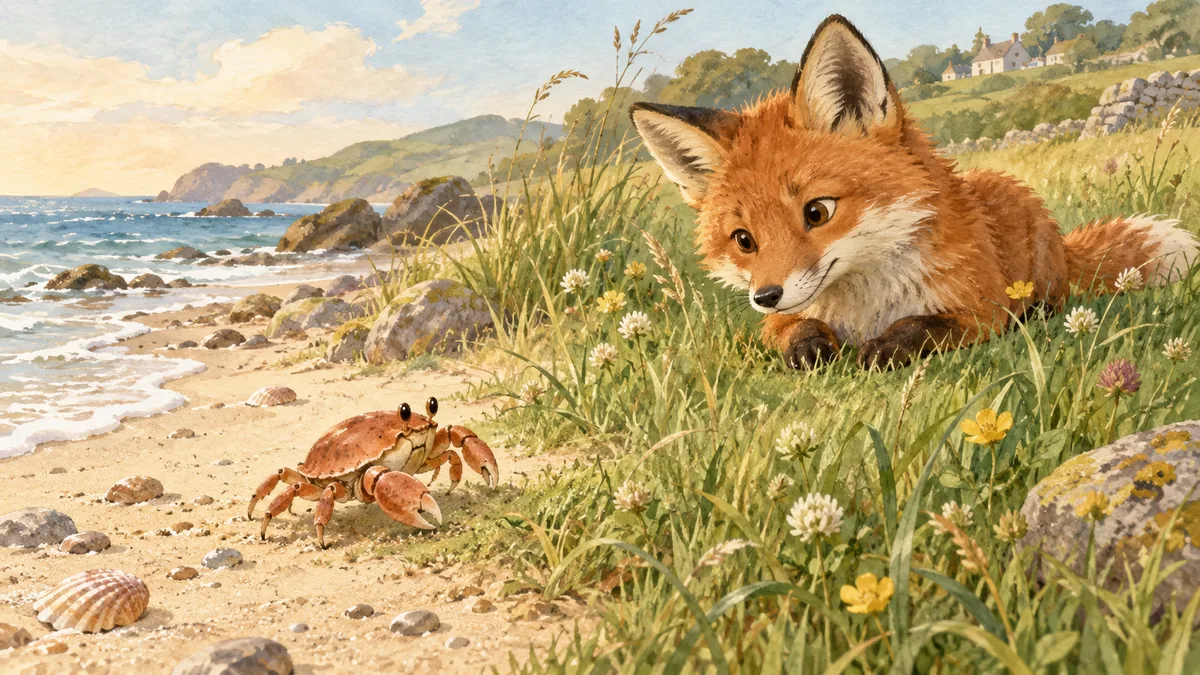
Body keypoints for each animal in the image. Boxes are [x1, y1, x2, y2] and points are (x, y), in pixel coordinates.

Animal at [630, 14, 1198, 370]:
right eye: (743, 240)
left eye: (817, 211)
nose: (765, 296)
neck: (865, 306)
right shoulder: (778, 323)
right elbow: (794, 331)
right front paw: (811, 350)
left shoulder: (979, 307)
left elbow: (920, 327)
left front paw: (883, 350)